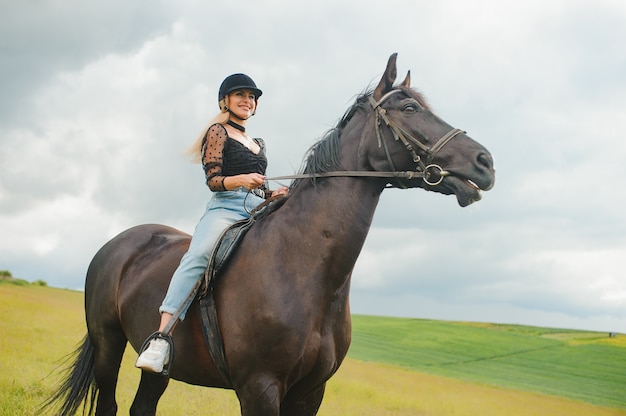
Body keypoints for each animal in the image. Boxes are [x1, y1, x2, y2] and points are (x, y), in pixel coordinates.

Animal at [42, 55, 492, 416]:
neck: (303, 266)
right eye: (410, 108)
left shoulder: (309, 393)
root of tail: (118, 244)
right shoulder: (260, 388)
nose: (485, 161)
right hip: (108, 345)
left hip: (157, 368)